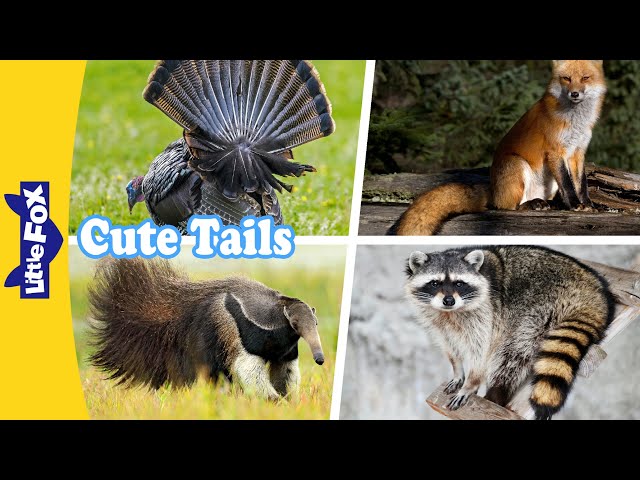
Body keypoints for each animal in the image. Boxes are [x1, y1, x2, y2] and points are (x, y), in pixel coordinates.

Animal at [390, 60, 607, 235]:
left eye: (585, 78)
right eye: (566, 79)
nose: (575, 93)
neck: (576, 121)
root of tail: (493, 188)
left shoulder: (577, 152)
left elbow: (580, 183)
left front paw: (587, 205)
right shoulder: (555, 152)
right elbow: (569, 185)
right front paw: (576, 205)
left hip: (549, 181)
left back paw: (550, 205)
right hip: (517, 164)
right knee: (506, 206)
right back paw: (531, 205)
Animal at [404, 246, 615, 419]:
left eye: (459, 283)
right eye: (434, 283)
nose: (449, 300)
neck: (449, 312)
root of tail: (595, 291)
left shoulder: (487, 313)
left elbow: (481, 351)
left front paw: (470, 384)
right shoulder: (437, 322)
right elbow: (449, 347)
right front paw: (457, 371)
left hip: (541, 307)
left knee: (513, 352)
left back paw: (496, 393)